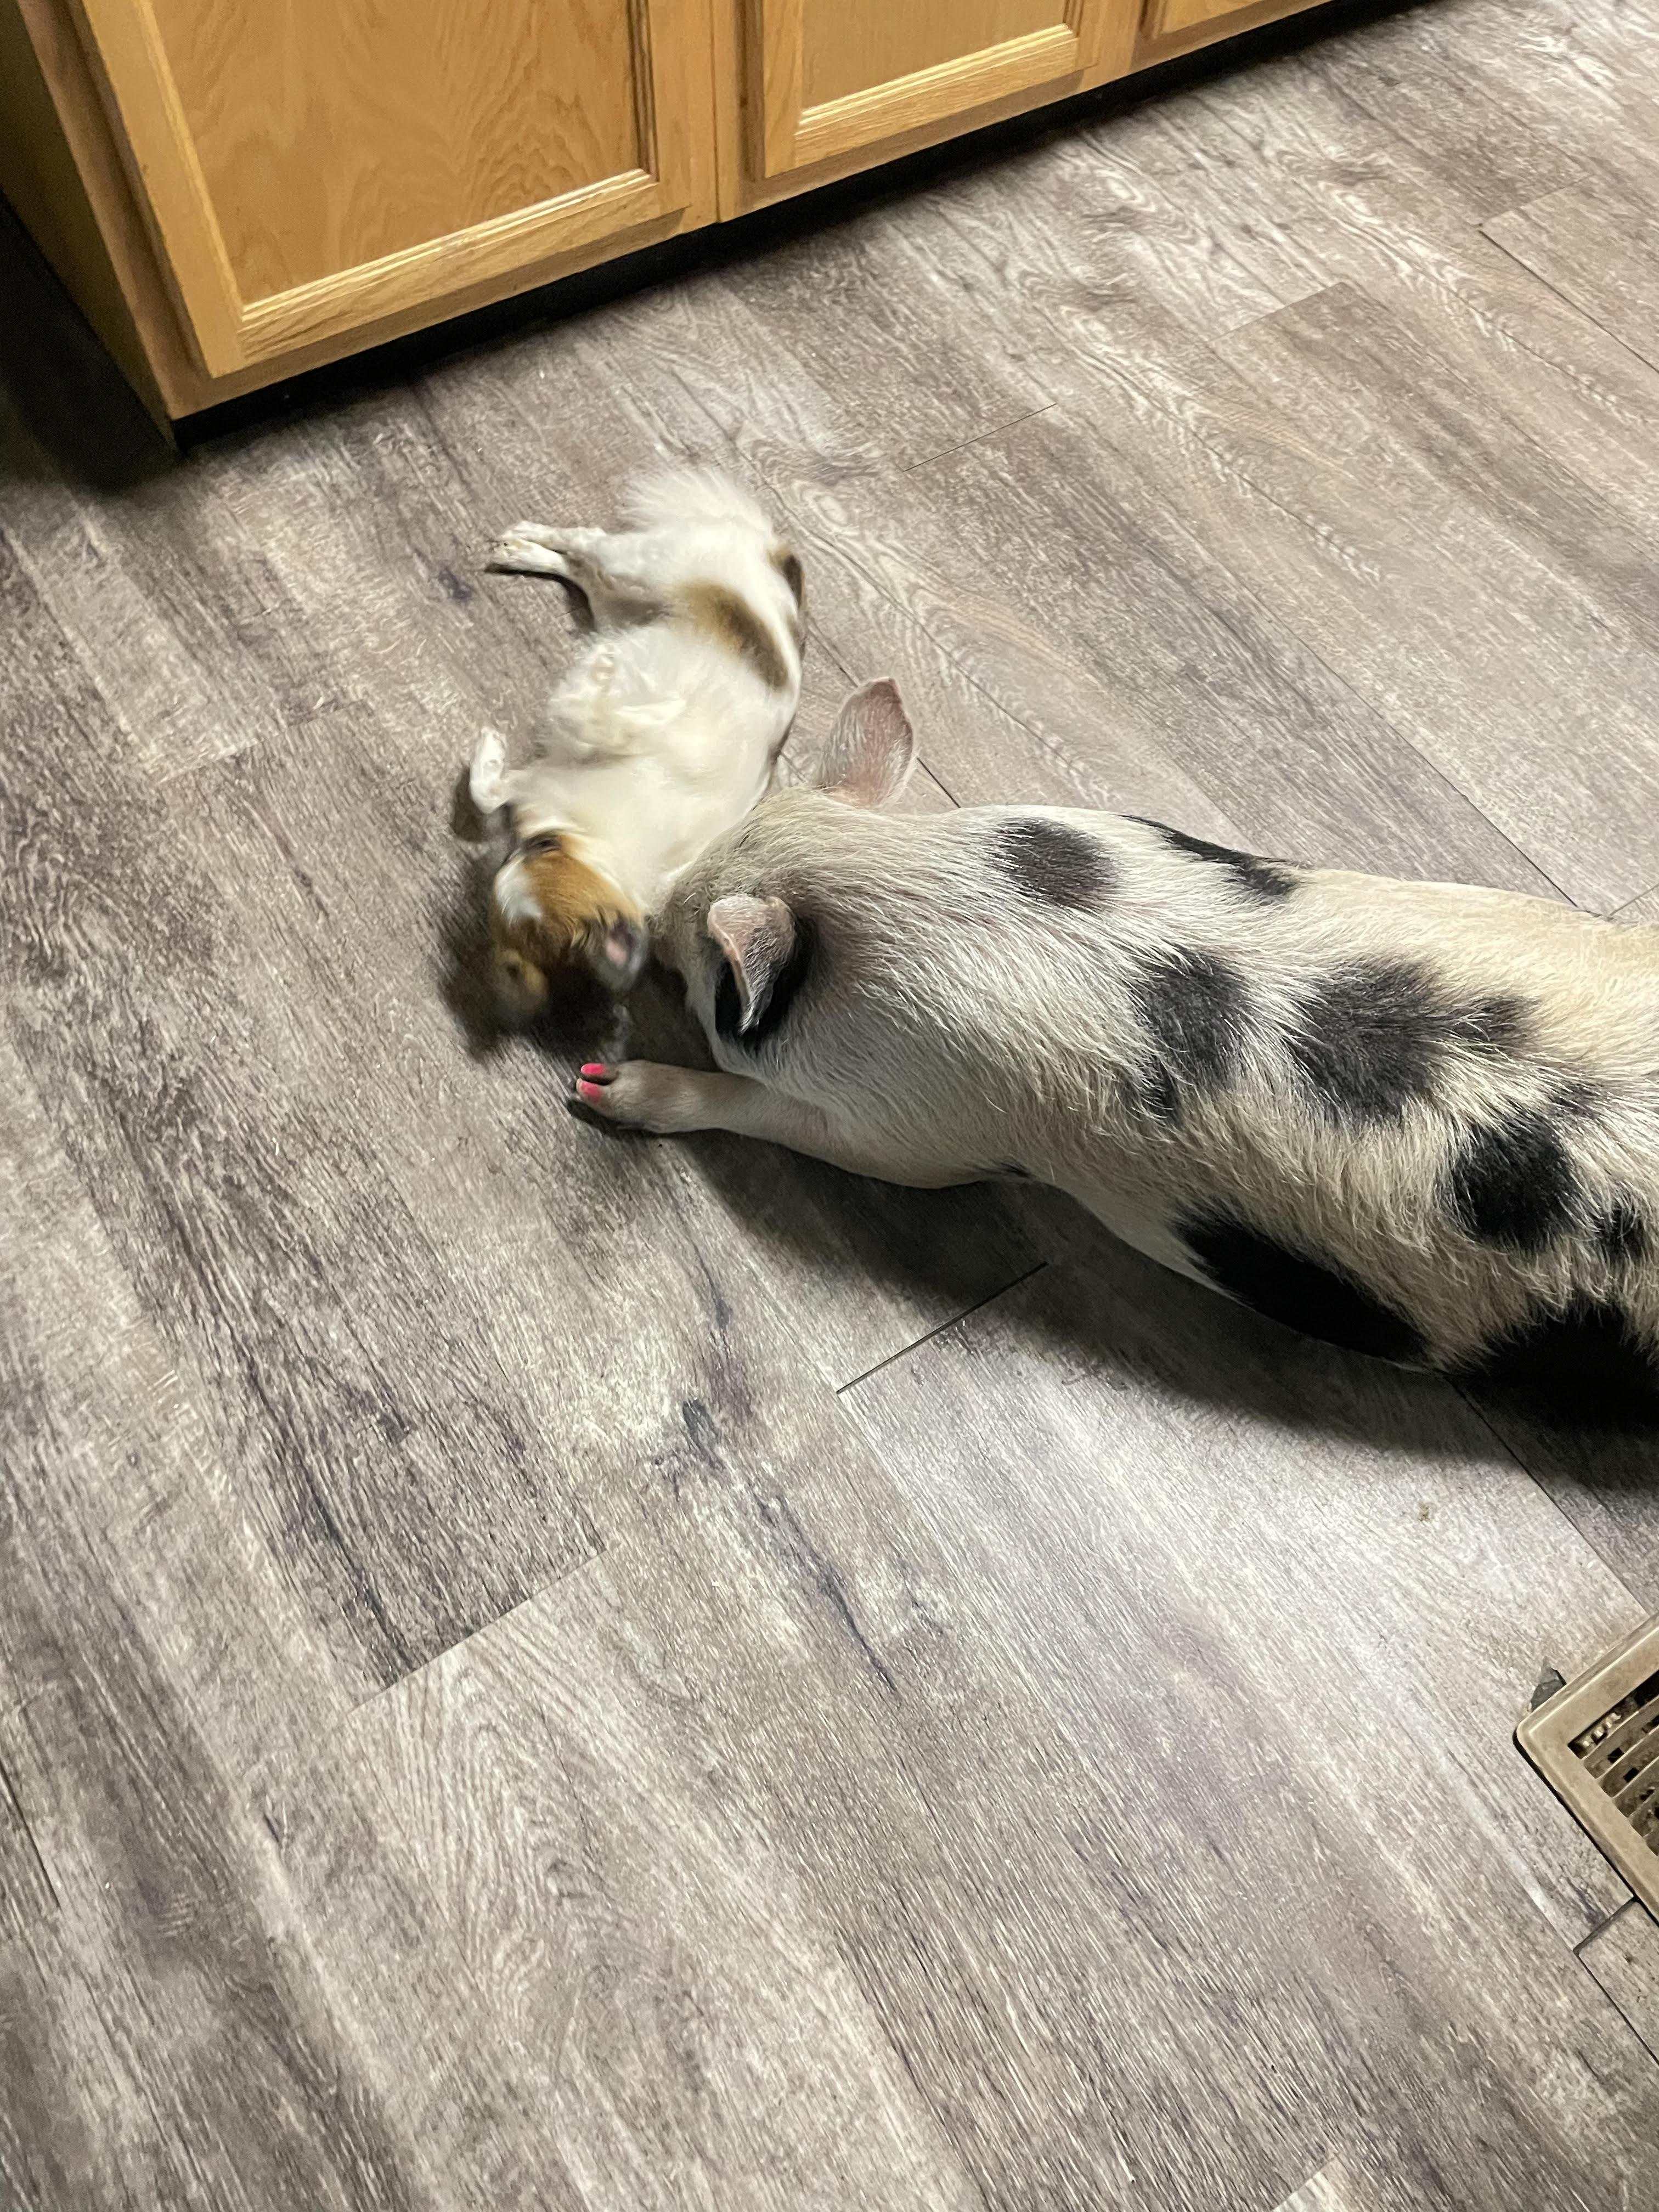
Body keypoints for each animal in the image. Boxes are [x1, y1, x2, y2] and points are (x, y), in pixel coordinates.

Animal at [572, 680, 1659, 1397]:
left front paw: (600, 1089)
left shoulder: (917, 1132)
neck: (922, 898)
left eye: (693, 969)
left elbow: (783, 1117)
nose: (653, 903)